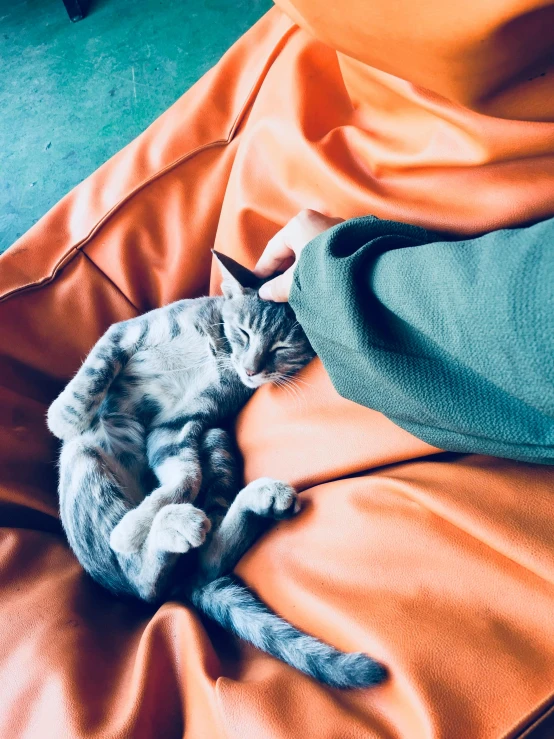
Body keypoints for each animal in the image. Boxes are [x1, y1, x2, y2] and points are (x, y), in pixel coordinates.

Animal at [46, 253, 384, 688]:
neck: (215, 346)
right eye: (242, 332)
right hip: (89, 460)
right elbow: (97, 369)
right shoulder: (128, 335)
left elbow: (187, 477)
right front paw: (66, 416)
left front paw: (134, 527)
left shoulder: (184, 422)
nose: (251, 370)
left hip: (217, 440)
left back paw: (225, 511)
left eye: (282, 347)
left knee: (176, 575)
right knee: (152, 582)